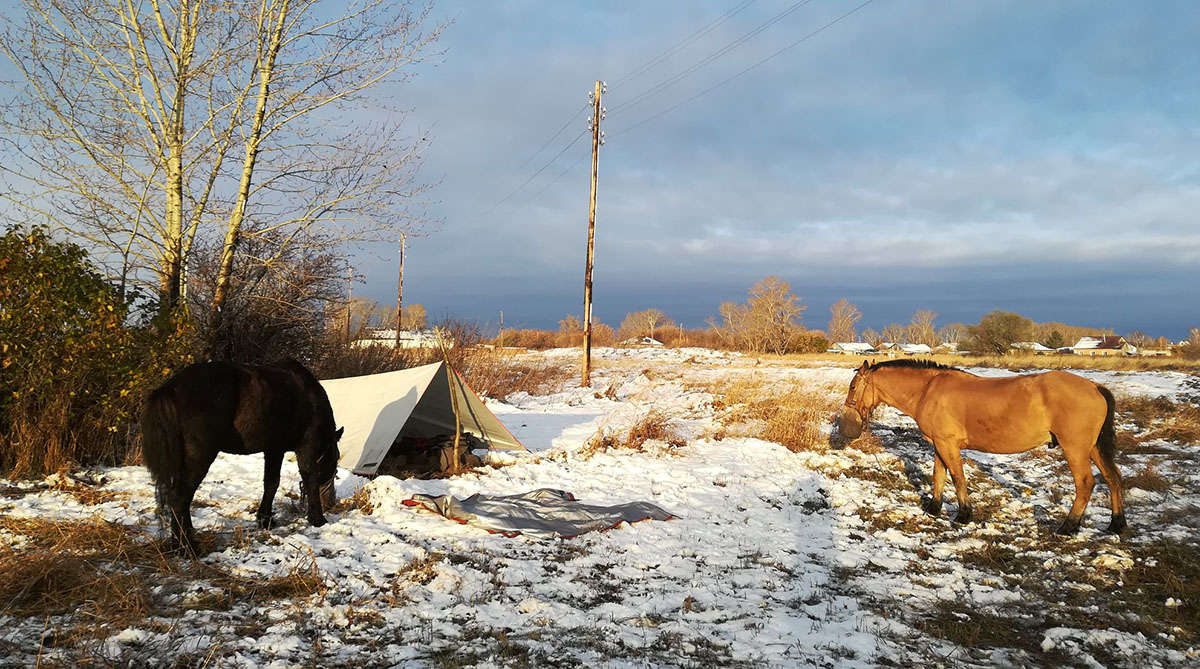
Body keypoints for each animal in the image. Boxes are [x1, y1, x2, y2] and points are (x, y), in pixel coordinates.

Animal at [144, 359, 348, 553]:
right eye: (334, 464)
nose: (331, 502)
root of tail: (171, 386)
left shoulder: (274, 450)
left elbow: (271, 483)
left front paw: (265, 520)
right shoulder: (306, 446)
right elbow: (310, 479)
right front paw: (318, 519)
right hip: (200, 456)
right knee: (179, 497)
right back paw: (185, 547)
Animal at [835, 359, 1123, 537]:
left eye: (853, 386)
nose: (846, 425)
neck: (927, 390)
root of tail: (1094, 386)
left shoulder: (948, 444)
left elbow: (958, 477)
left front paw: (964, 514)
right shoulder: (939, 444)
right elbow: (939, 475)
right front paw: (934, 508)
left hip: (1075, 448)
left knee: (1085, 484)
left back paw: (1068, 526)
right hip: (1093, 447)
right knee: (1112, 478)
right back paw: (1117, 524)